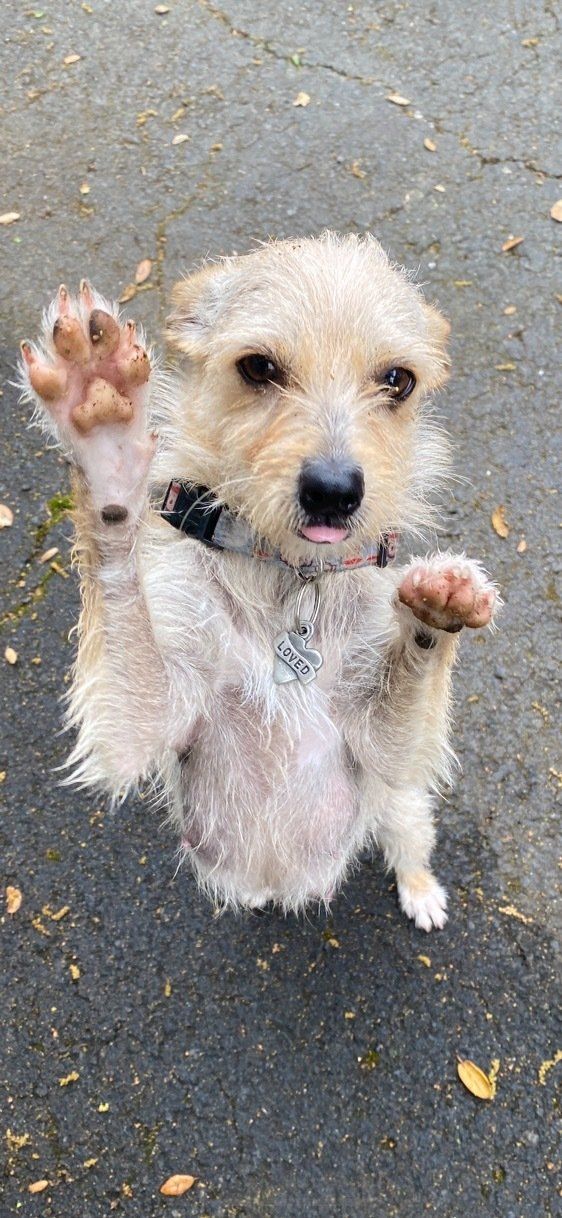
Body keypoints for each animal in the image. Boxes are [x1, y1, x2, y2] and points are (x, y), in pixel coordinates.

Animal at [20, 233, 498, 930]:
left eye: (398, 380)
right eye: (258, 367)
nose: (334, 493)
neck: (287, 581)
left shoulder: (388, 751)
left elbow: (412, 683)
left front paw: (439, 609)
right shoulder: (145, 724)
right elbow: (116, 551)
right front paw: (103, 427)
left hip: (399, 804)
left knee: (408, 840)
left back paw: (420, 891)